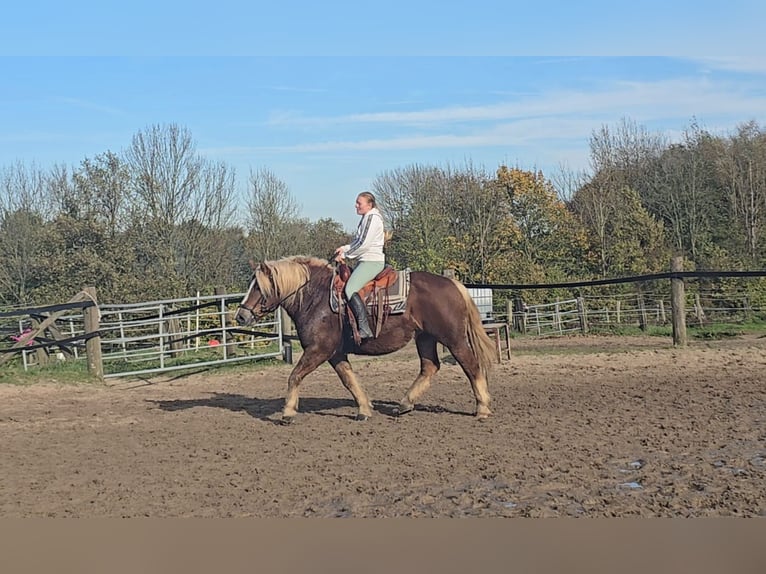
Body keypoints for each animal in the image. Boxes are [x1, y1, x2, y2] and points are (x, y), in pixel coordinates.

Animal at [236, 256, 498, 424]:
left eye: (258, 287)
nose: (240, 315)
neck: (316, 298)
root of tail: (454, 285)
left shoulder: (319, 349)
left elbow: (295, 376)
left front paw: (288, 412)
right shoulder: (335, 353)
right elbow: (349, 380)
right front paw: (364, 409)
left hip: (453, 339)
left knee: (471, 365)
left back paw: (483, 408)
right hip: (425, 337)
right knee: (430, 367)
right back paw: (404, 404)